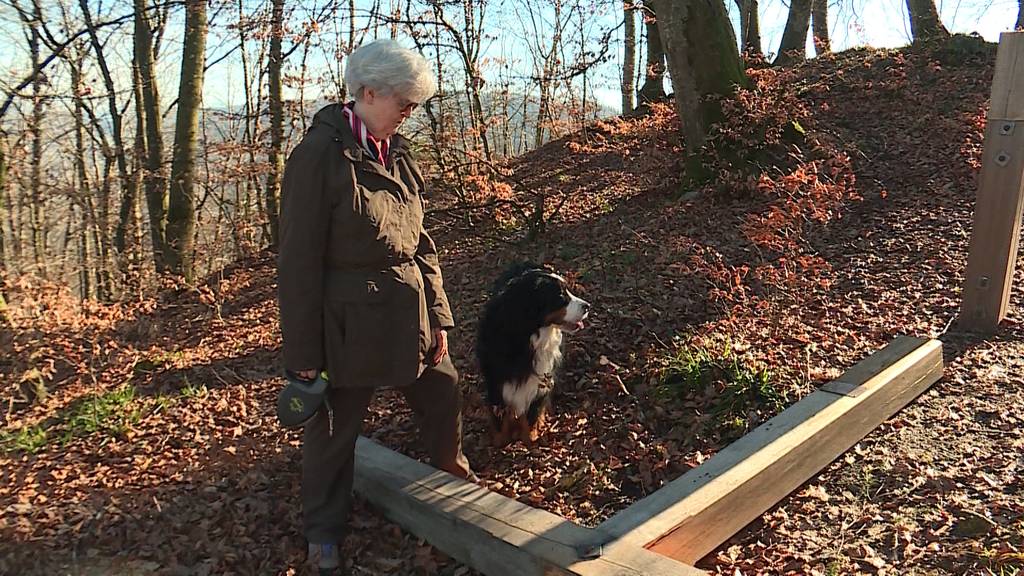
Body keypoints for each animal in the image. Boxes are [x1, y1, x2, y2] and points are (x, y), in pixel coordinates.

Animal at [473, 262, 589, 446]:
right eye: (560, 295)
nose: (587, 306)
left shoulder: (541, 379)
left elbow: (531, 415)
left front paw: (530, 440)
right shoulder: (496, 380)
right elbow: (500, 415)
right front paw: (500, 441)